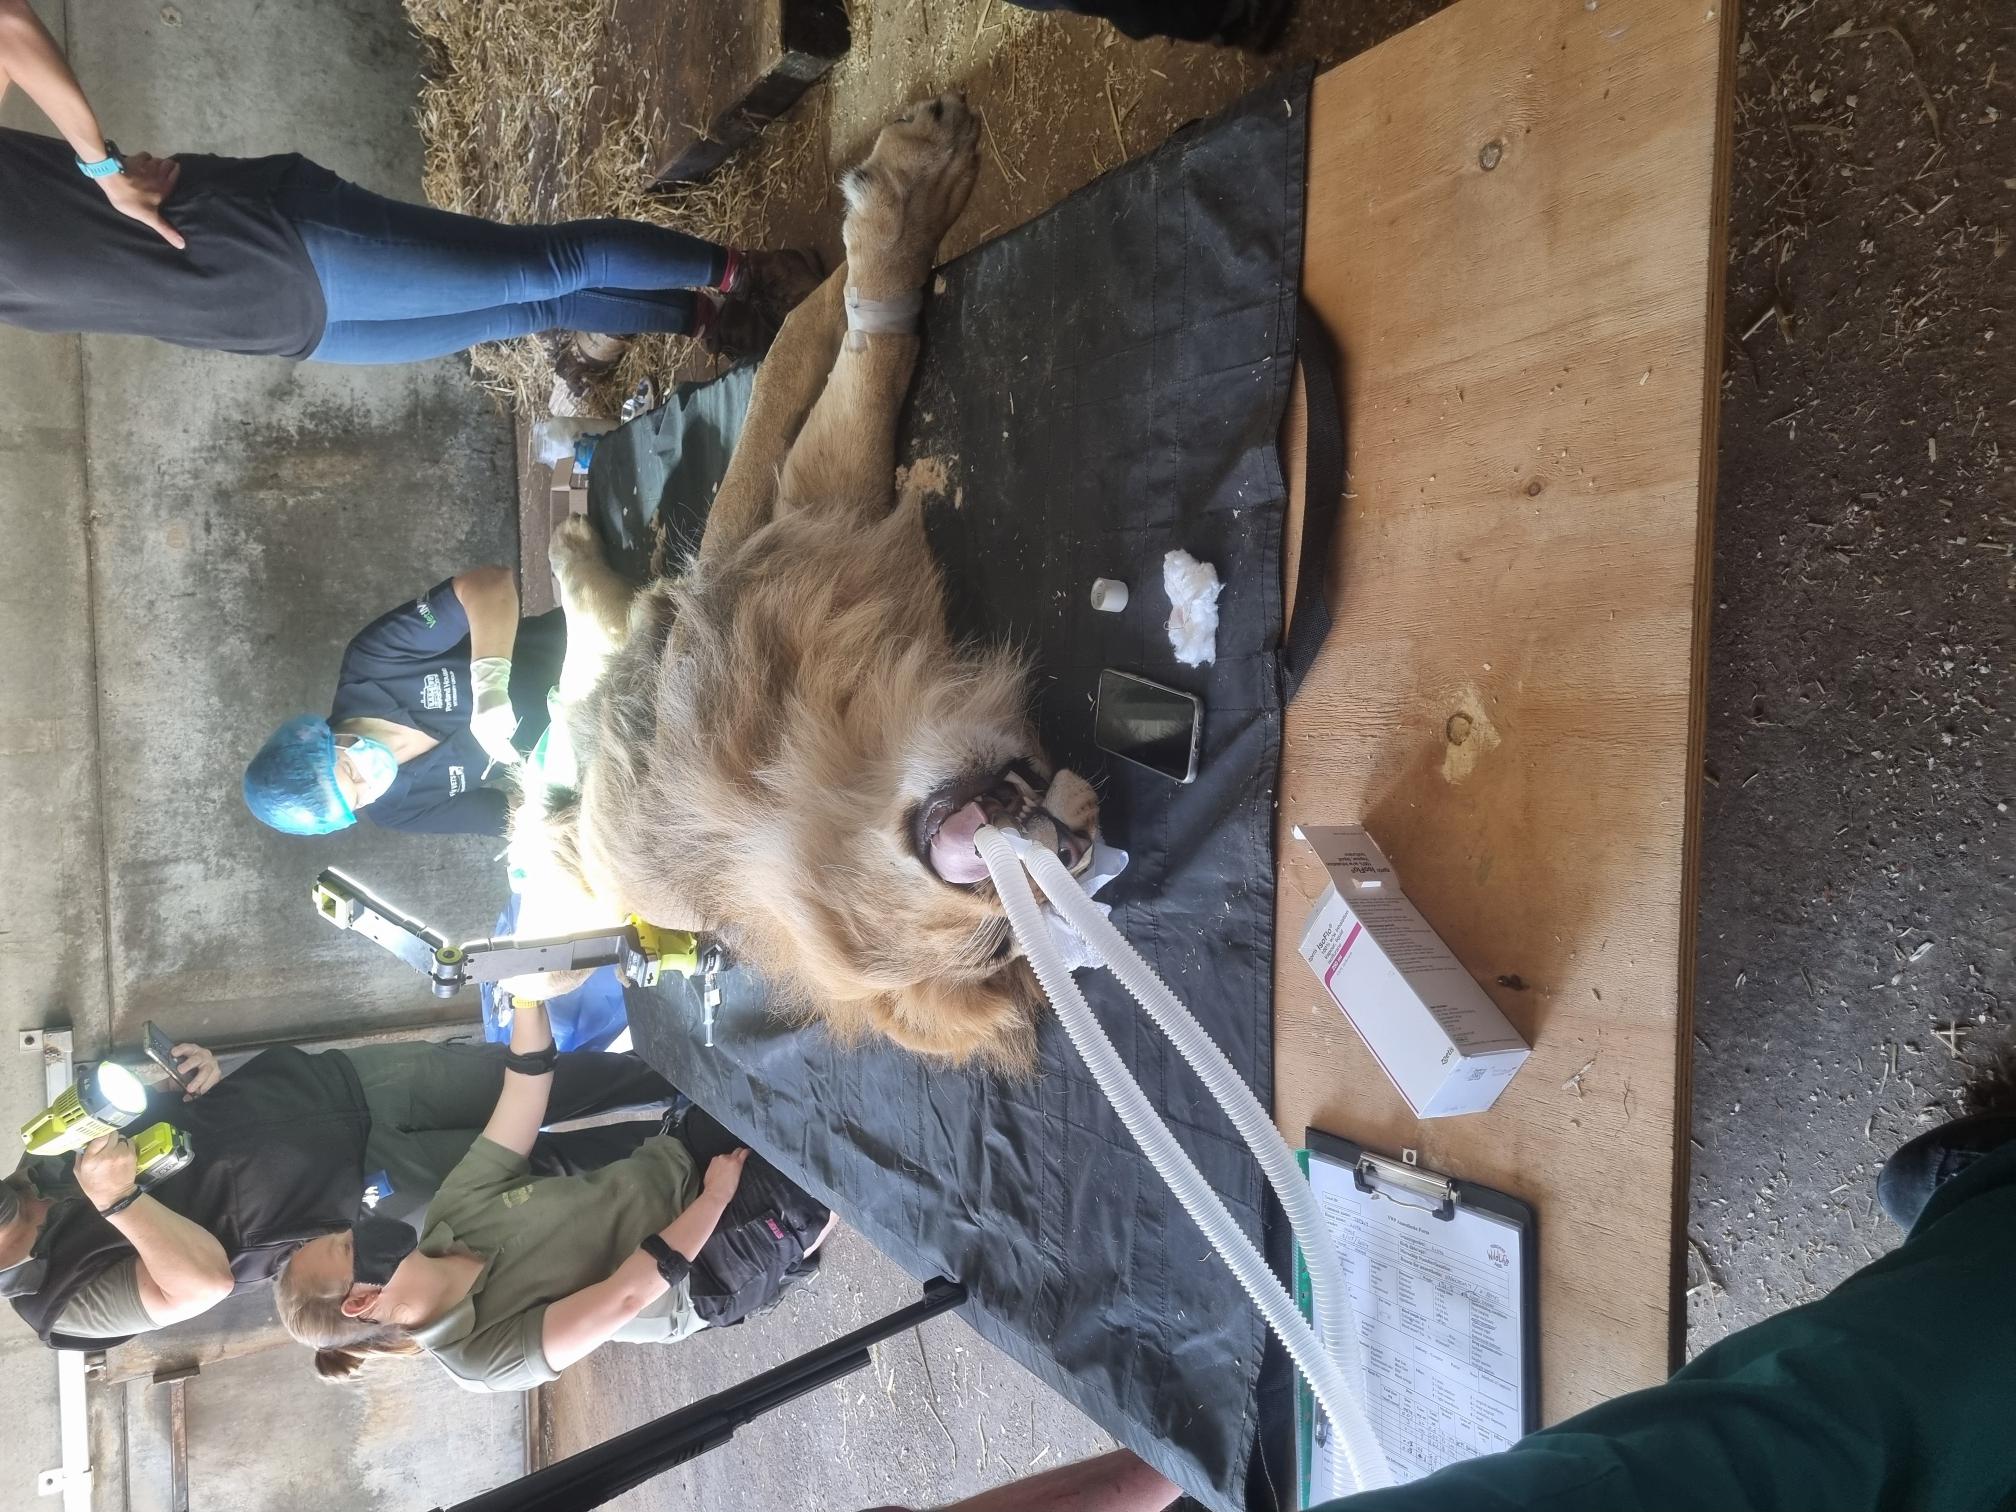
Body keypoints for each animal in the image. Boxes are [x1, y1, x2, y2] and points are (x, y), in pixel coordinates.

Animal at [516, 93, 1100, 1069]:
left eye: (996, 946)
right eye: (1042, 779)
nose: (1077, 834)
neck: (811, 783)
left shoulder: (800, 527)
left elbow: (837, 366)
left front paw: (887, 207)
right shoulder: (774, 564)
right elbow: (823, 356)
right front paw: (905, 190)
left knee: (588, 649)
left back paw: (568, 549)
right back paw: (569, 539)